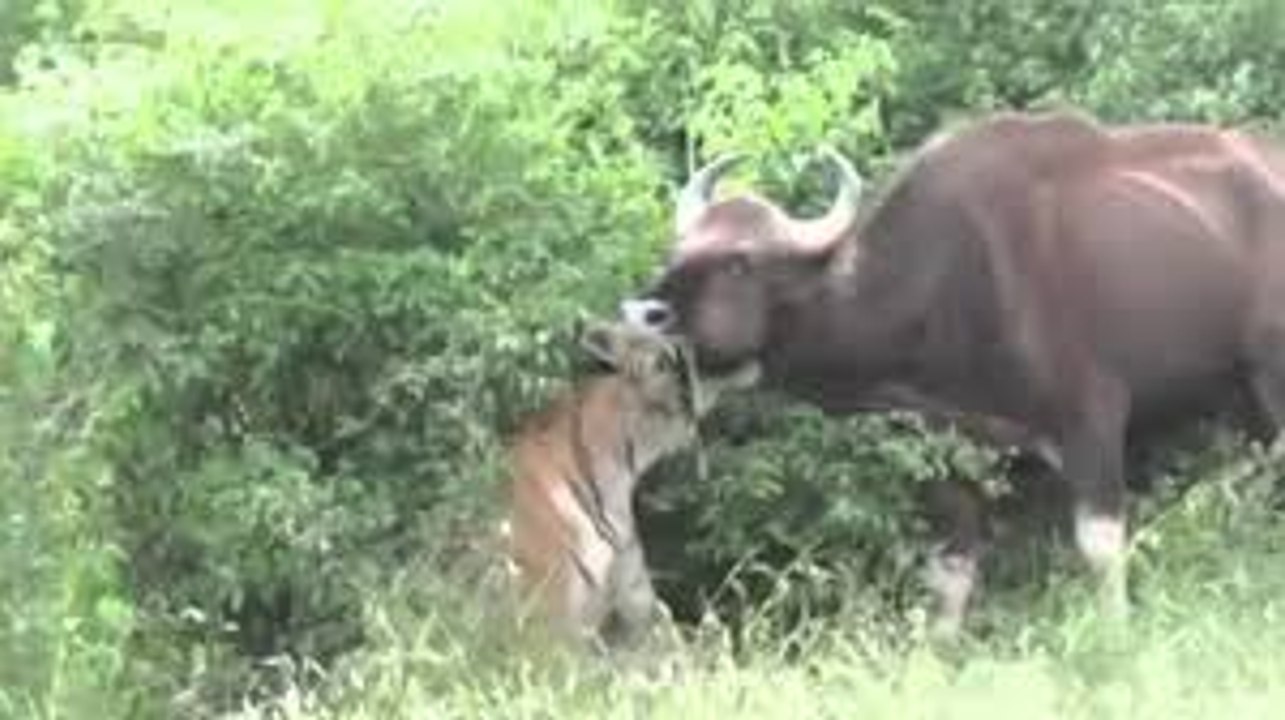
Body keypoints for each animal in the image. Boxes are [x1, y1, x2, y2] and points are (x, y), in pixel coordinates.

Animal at [619, 110, 1285, 631]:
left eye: (739, 262)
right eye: (677, 252)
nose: (644, 313)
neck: (946, 282)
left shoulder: (1092, 418)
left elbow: (1099, 547)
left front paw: (1115, 637)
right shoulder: (948, 453)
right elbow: (952, 572)